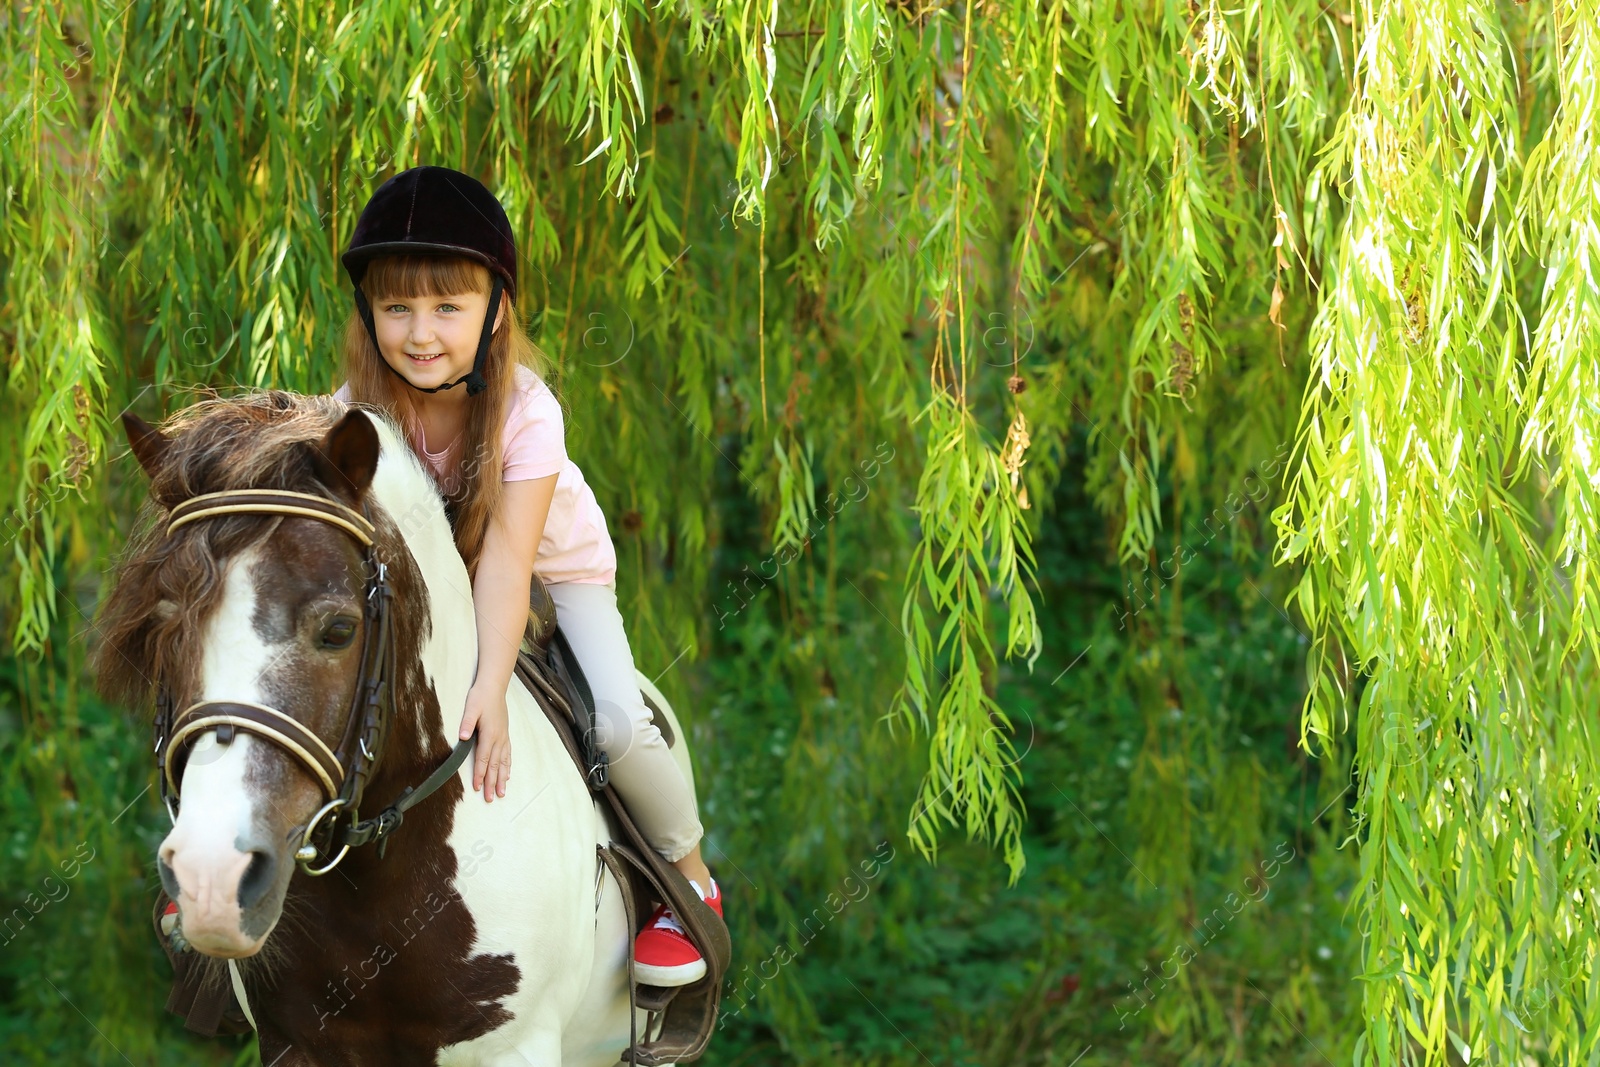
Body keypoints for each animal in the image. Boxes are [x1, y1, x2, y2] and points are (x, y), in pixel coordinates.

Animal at [87, 395, 688, 1067]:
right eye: (163, 631)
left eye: (339, 630)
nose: (211, 877)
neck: (382, 886)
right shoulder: (292, 1044)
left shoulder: (517, 1046)